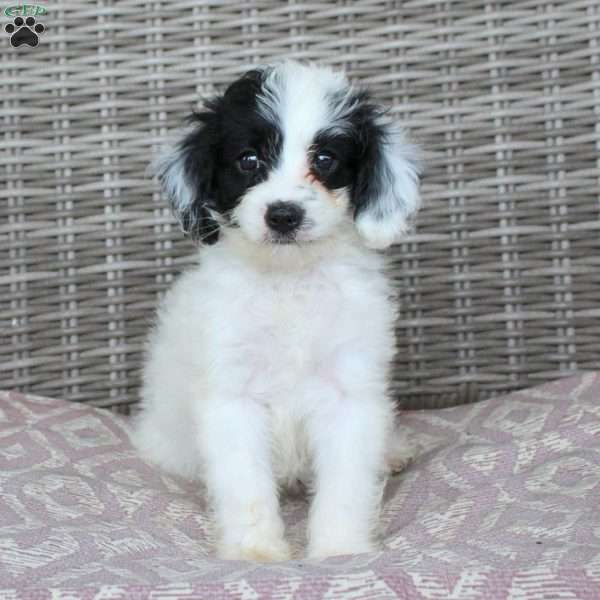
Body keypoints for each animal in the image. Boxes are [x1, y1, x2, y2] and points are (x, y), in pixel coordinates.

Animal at [132, 61, 422, 564]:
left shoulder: (349, 391)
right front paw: (255, 552)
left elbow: (346, 484)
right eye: (248, 161)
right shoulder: (233, 396)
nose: (283, 214)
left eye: (325, 160)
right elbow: (244, 483)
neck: (290, 282)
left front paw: (339, 549)